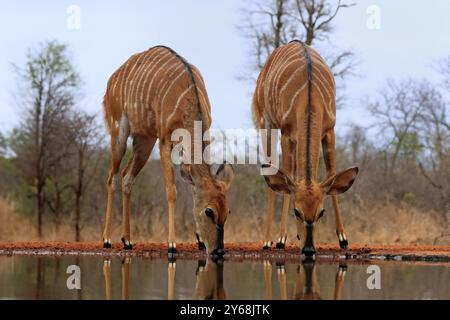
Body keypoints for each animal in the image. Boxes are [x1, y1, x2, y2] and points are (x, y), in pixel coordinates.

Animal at [102, 45, 236, 255]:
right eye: (209, 211)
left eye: (227, 211)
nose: (219, 250)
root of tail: (112, 80)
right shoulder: (165, 140)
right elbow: (171, 190)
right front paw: (172, 244)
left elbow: (191, 186)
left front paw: (199, 240)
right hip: (119, 133)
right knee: (111, 178)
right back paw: (107, 239)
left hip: (145, 141)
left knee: (126, 177)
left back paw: (127, 240)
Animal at [253, 40, 358, 255]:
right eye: (296, 211)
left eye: (321, 212)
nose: (309, 249)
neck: (309, 97)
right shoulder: (286, 133)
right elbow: (287, 176)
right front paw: (281, 239)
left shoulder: (329, 130)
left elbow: (331, 173)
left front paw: (343, 238)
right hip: (266, 124)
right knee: (271, 172)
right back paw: (268, 240)